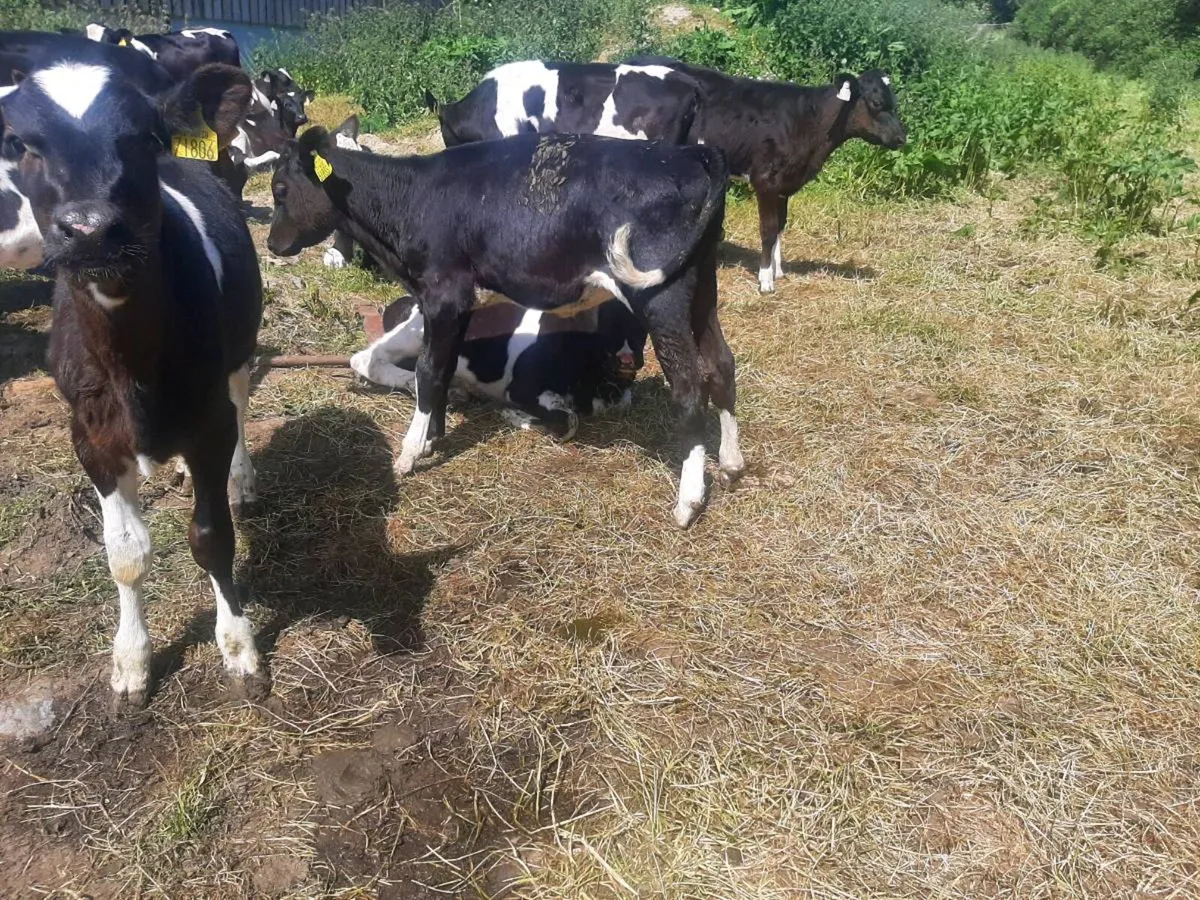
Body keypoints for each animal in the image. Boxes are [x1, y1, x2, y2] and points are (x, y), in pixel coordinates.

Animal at [0, 57, 268, 709]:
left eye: (147, 136)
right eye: (18, 144)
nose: (90, 228)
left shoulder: (208, 423)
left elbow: (212, 536)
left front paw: (238, 645)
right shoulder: (90, 435)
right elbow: (124, 555)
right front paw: (131, 661)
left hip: (239, 356)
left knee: (243, 407)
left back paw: (243, 481)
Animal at [352, 296, 647, 437]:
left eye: (642, 325)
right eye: (606, 321)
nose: (627, 359)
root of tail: (404, 300)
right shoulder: (521, 388)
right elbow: (568, 421)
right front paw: (514, 416)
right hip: (415, 334)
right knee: (366, 360)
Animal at [627, 55, 908, 292]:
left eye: (895, 102)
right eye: (877, 103)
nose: (902, 138)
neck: (809, 121)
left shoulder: (785, 184)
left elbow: (781, 225)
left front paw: (778, 269)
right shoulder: (766, 181)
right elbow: (768, 228)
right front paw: (765, 280)